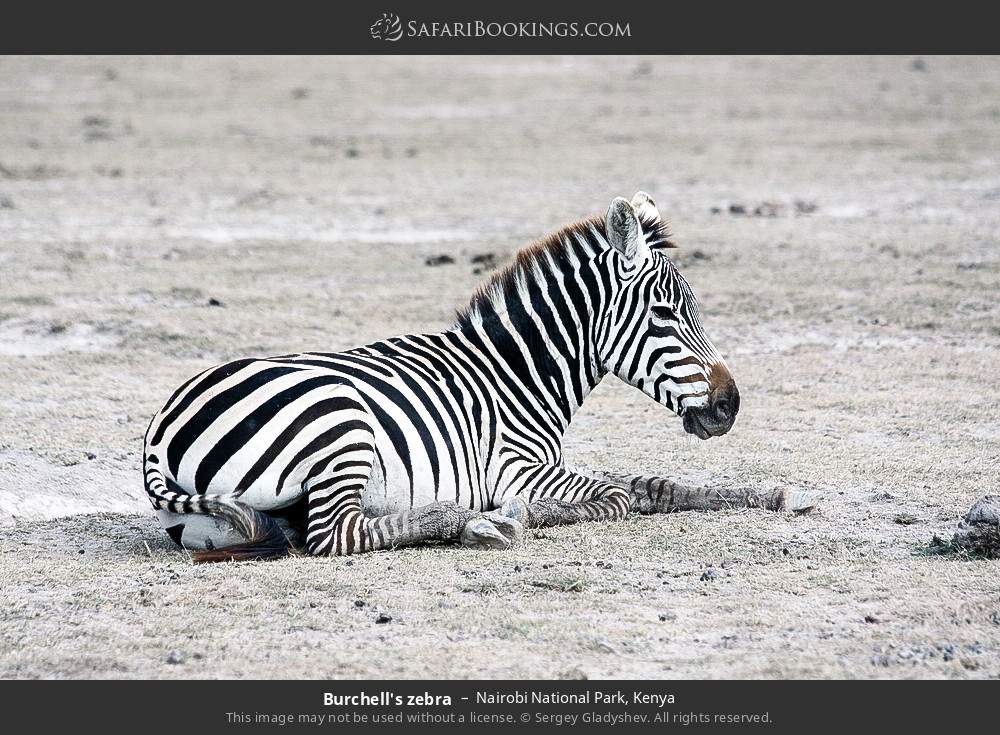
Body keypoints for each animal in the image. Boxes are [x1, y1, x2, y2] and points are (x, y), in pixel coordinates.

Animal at [143, 192, 740, 561]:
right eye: (665, 313)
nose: (730, 405)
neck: (514, 374)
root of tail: (159, 429)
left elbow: (649, 485)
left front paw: (753, 496)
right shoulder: (513, 469)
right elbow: (615, 497)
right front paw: (518, 514)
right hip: (341, 423)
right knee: (336, 535)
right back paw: (472, 523)